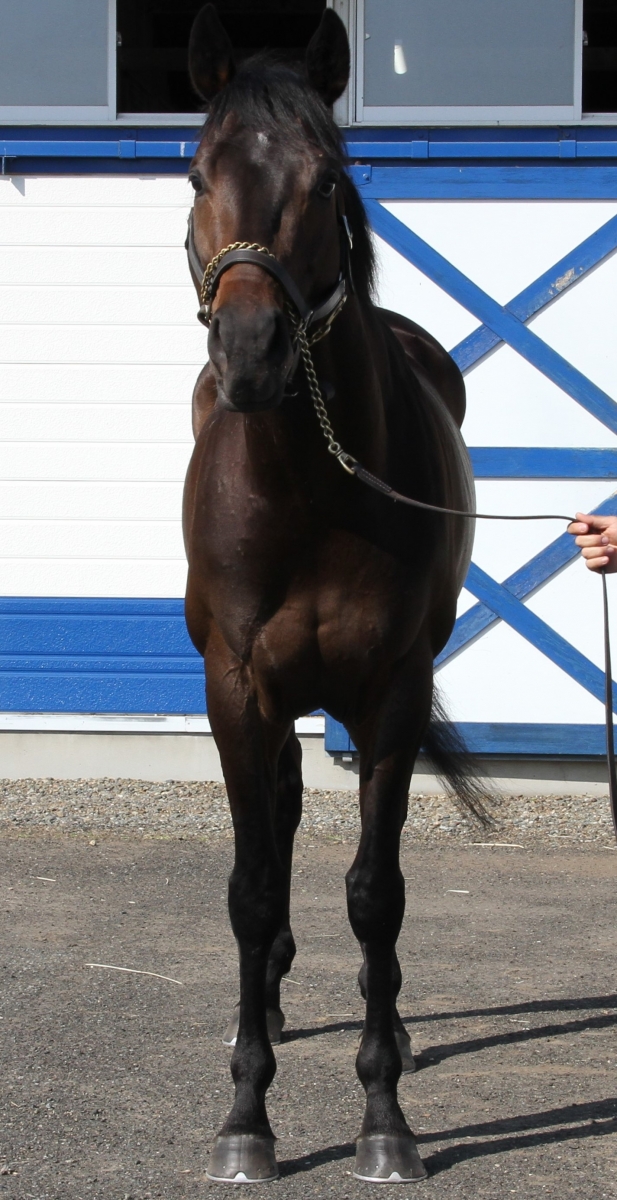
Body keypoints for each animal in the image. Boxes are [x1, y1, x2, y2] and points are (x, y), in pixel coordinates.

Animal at [182, 4, 483, 1184]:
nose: (252, 353)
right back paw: (260, 1005)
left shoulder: (389, 693)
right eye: (196, 173)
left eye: (324, 181)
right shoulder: (237, 692)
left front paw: (384, 1116)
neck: (307, 487)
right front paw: (244, 1120)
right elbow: (251, 886)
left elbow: (375, 893)